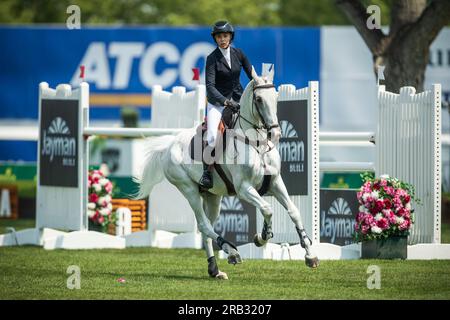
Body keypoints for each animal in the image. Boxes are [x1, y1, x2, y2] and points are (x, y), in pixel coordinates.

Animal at [134, 67, 320, 280]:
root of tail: (170, 144)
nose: (275, 134)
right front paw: (261, 238)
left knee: (207, 226)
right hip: (188, 189)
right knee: (204, 225)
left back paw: (215, 269)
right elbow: (267, 209)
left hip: (213, 197)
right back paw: (231, 252)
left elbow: (293, 211)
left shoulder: (275, 182)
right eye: (258, 99)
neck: (257, 143)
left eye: (276, 96)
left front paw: (310, 255)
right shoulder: (244, 188)